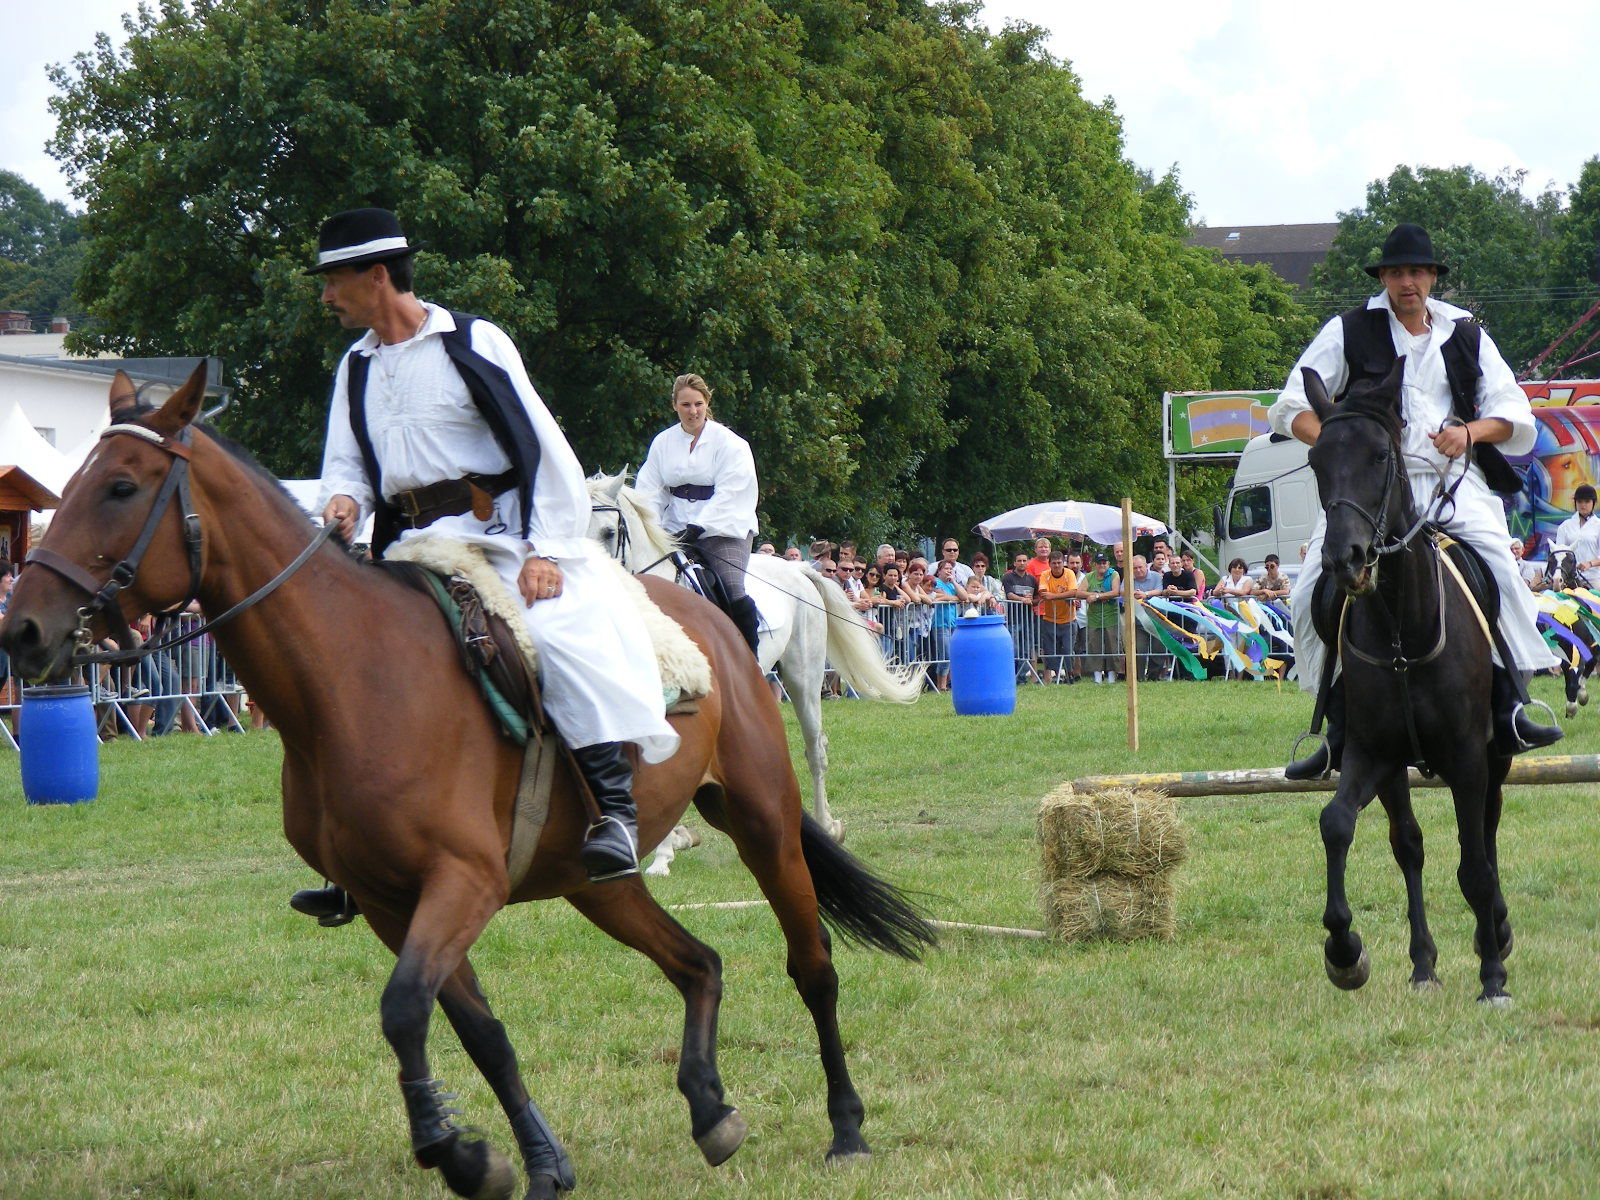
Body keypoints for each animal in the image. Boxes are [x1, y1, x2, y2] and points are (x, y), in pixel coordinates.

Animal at [588, 473, 921, 876]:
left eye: (608, 532)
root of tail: (799, 570)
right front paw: (671, 843)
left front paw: (665, 852)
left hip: (803, 677)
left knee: (815, 748)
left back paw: (826, 826)